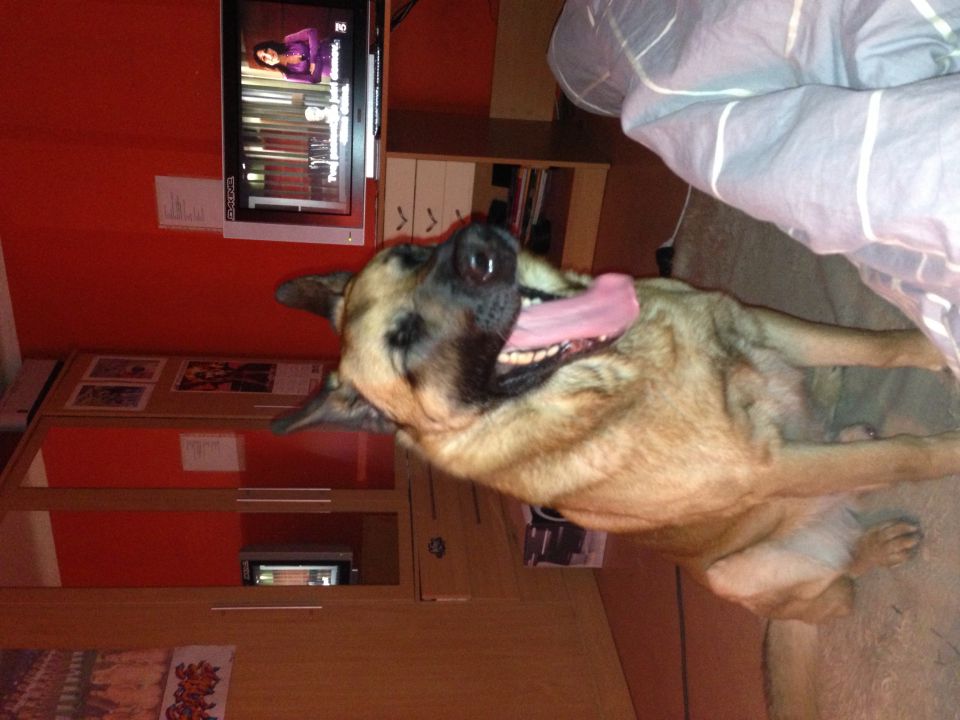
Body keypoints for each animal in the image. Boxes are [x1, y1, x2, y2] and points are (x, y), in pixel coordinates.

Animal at [272, 223, 960, 719]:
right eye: (405, 339)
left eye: (412, 251)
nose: (479, 249)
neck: (620, 371)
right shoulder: (767, 468)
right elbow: (905, 454)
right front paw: (948, 447)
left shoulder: (760, 322)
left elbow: (876, 345)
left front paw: (930, 345)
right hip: (738, 572)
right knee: (838, 585)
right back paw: (872, 542)